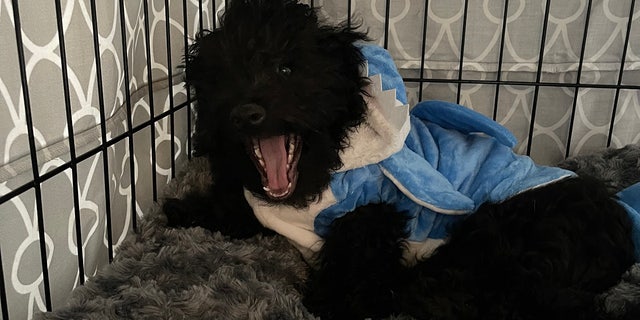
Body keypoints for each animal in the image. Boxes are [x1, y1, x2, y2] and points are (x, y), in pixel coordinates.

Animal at [166, 1, 640, 318]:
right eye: (222, 76)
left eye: (286, 69)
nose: (246, 113)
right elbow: (233, 205)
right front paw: (185, 209)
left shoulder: (373, 214)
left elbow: (353, 267)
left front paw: (329, 296)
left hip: (497, 231)